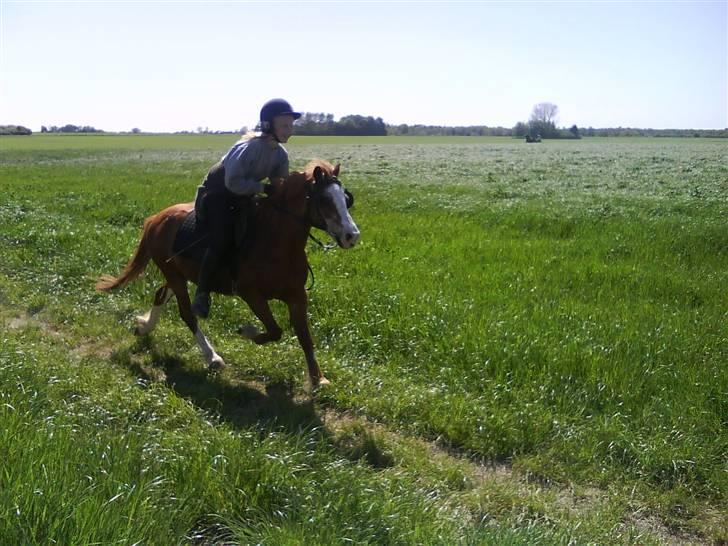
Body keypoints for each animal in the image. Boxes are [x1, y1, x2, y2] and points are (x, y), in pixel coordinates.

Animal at [96, 159, 358, 388]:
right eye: (324, 199)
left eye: (345, 199)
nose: (352, 236)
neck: (276, 241)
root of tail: (155, 219)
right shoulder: (250, 293)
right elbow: (275, 331)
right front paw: (247, 332)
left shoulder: (296, 296)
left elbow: (304, 337)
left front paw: (319, 379)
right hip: (175, 275)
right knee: (187, 314)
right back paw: (212, 357)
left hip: (179, 273)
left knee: (161, 294)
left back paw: (144, 327)